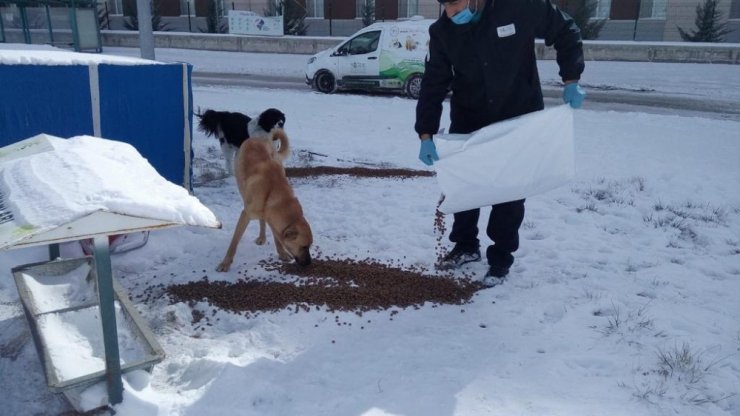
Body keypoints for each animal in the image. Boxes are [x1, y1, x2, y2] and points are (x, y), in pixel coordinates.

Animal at [214, 130, 312, 272]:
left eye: (310, 246)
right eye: (304, 246)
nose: (310, 263)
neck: (275, 192)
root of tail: (256, 138)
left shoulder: (272, 217)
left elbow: (277, 236)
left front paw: (281, 253)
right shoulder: (245, 215)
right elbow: (234, 242)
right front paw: (225, 263)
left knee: (262, 220)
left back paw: (262, 237)